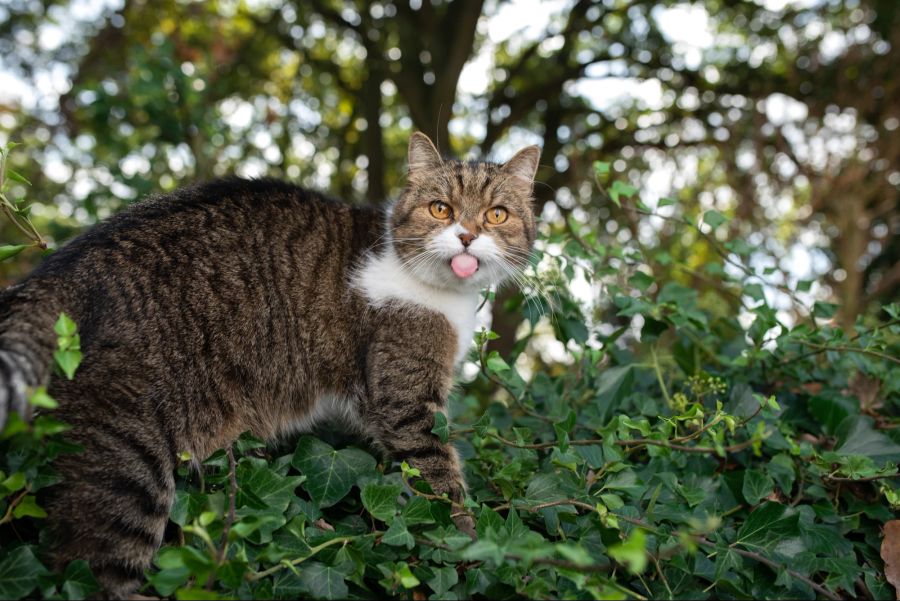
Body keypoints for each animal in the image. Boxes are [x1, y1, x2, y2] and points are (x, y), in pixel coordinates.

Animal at [0, 134, 536, 596]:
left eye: (497, 214)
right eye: (440, 208)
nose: (466, 236)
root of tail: (54, 278)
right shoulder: (407, 403)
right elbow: (442, 484)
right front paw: (472, 548)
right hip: (127, 460)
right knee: (91, 571)